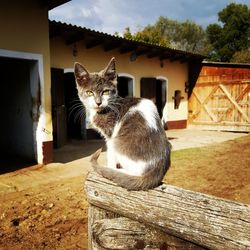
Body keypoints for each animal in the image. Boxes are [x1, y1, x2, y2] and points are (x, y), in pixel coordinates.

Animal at [74, 57, 171, 190]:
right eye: (89, 92)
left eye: (106, 92)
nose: (98, 102)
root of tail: (158, 169)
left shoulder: (110, 134)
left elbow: (110, 154)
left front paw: (110, 167)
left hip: (118, 142)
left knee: (136, 172)